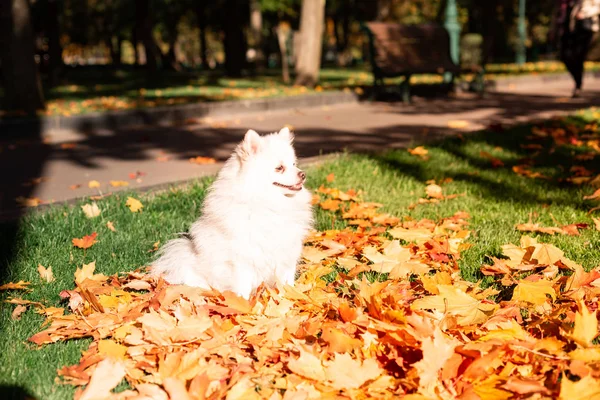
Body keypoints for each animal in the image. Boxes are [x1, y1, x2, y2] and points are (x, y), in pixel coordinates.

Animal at [150, 126, 314, 298]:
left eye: (294, 164)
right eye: (279, 168)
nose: (303, 174)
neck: (268, 203)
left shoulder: (287, 253)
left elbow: (287, 283)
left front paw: (291, 297)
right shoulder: (243, 259)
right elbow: (243, 288)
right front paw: (243, 304)